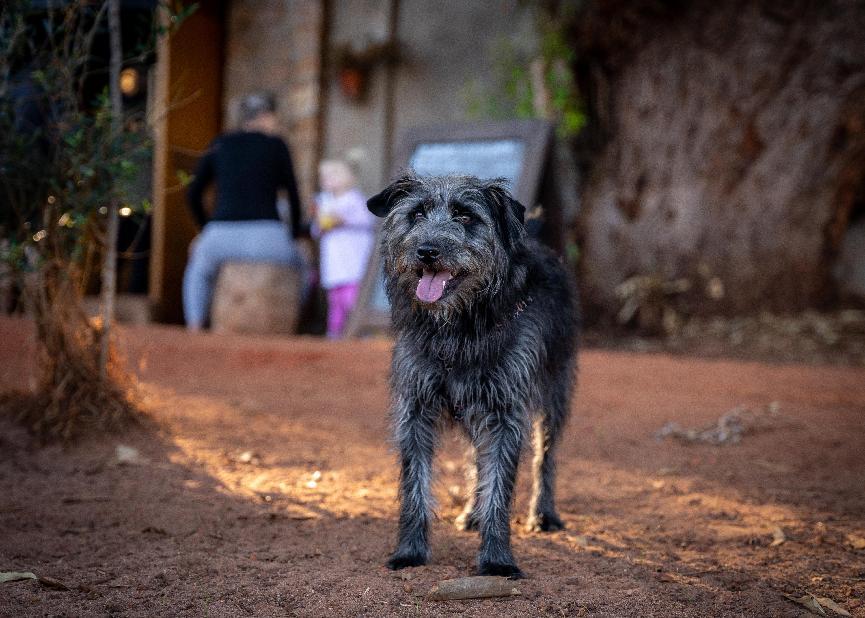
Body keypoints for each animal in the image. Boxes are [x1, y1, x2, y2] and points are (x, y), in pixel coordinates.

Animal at [368, 171, 576, 576]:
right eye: (416, 214)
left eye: (466, 216)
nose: (427, 250)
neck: (459, 330)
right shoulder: (415, 409)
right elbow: (415, 486)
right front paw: (410, 551)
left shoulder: (505, 413)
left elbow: (499, 487)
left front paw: (496, 560)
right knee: (476, 460)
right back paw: (472, 513)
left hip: (553, 394)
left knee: (545, 457)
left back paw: (542, 513)